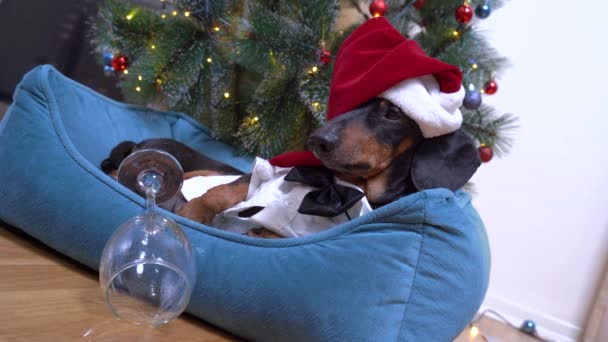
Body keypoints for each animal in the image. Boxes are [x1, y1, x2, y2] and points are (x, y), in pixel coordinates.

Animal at [103, 97, 480, 236]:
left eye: (392, 112)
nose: (317, 140)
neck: (342, 187)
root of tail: (140, 143)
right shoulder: (256, 178)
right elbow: (223, 192)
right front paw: (195, 214)